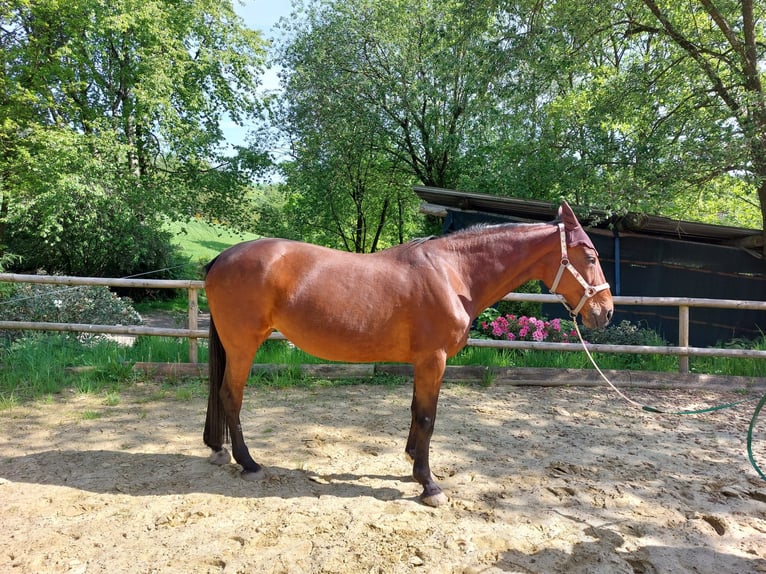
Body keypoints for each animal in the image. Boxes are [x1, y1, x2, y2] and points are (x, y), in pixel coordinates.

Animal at [202, 202, 612, 508]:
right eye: (591, 256)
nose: (605, 312)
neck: (452, 273)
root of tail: (221, 258)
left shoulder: (424, 362)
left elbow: (417, 411)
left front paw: (413, 459)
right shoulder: (434, 359)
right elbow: (429, 417)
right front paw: (429, 484)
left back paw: (221, 451)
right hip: (243, 346)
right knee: (231, 396)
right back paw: (249, 463)